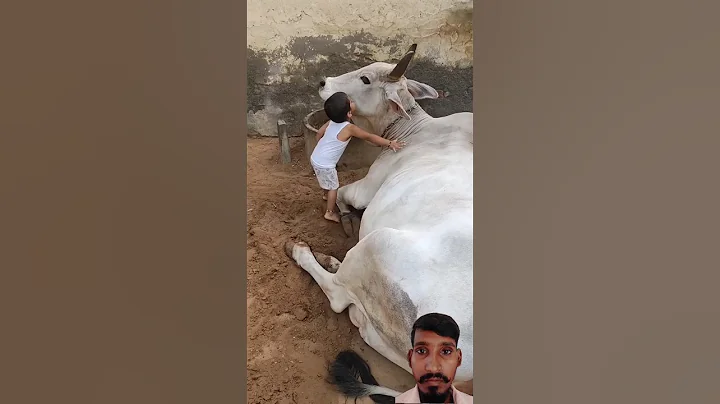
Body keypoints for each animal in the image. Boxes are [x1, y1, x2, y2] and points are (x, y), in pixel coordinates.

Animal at [284, 44, 473, 401]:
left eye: (366, 79)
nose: (323, 82)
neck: (414, 129)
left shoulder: (367, 186)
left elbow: (342, 195)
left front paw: (342, 217)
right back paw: (331, 259)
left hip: (377, 245)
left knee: (338, 295)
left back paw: (303, 252)